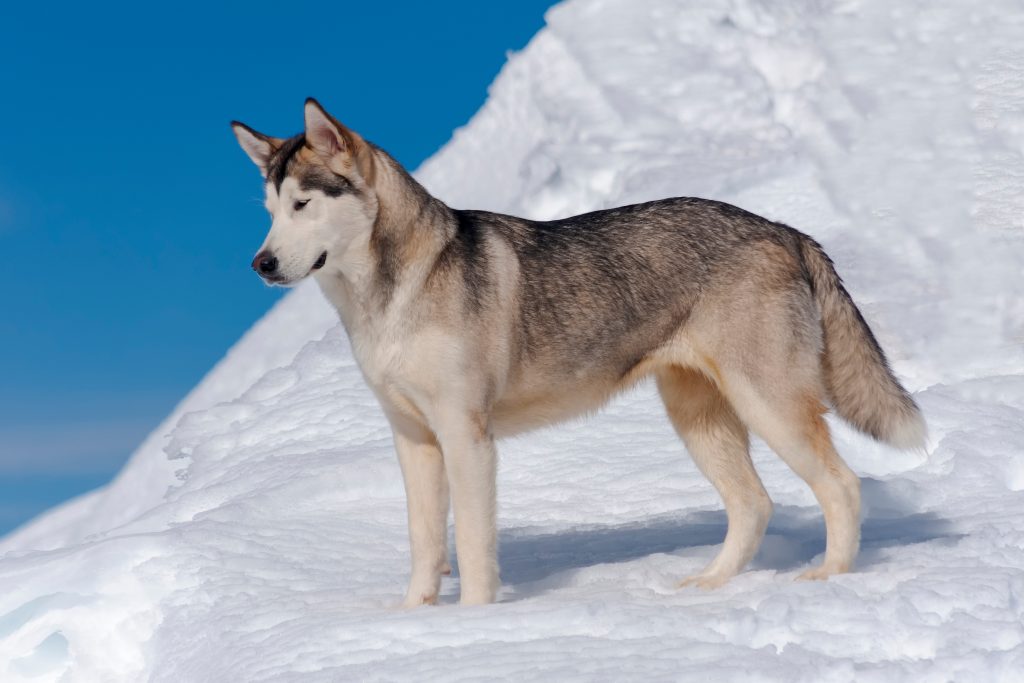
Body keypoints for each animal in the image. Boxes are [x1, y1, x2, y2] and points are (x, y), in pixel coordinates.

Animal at [232, 98, 929, 606]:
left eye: (303, 204)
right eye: (269, 209)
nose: (260, 265)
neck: (391, 295)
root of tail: (784, 229)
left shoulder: (466, 435)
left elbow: (475, 551)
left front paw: (474, 626)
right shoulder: (414, 440)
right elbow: (425, 547)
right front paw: (412, 623)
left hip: (770, 404)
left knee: (842, 486)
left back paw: (828, 581)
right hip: (699, 417)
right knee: (753, 505)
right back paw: (704, 590)